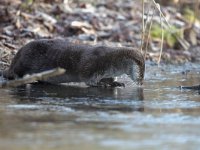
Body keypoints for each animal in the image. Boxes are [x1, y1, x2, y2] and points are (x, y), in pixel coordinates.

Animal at [0, 38, 145, 86]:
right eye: (142, 72)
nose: (141, 82)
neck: (112, 62)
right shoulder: (92, 65)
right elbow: (87, 78)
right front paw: (100, 84)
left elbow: (108, 79)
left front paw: (116, 83)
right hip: (24, 61)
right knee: (15, 73)